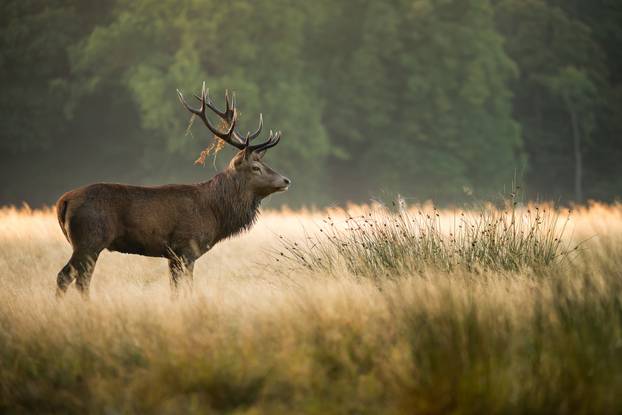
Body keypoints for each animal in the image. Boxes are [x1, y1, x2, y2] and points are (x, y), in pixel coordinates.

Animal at [56, 83, 290, 296]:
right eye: (256, 167)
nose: (286, 180)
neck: (215, 213)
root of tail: (63, 201)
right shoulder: (185, 248)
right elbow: (183, 290)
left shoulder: (172, 255)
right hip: (90, 240)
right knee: (68, 277)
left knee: (78, 279)